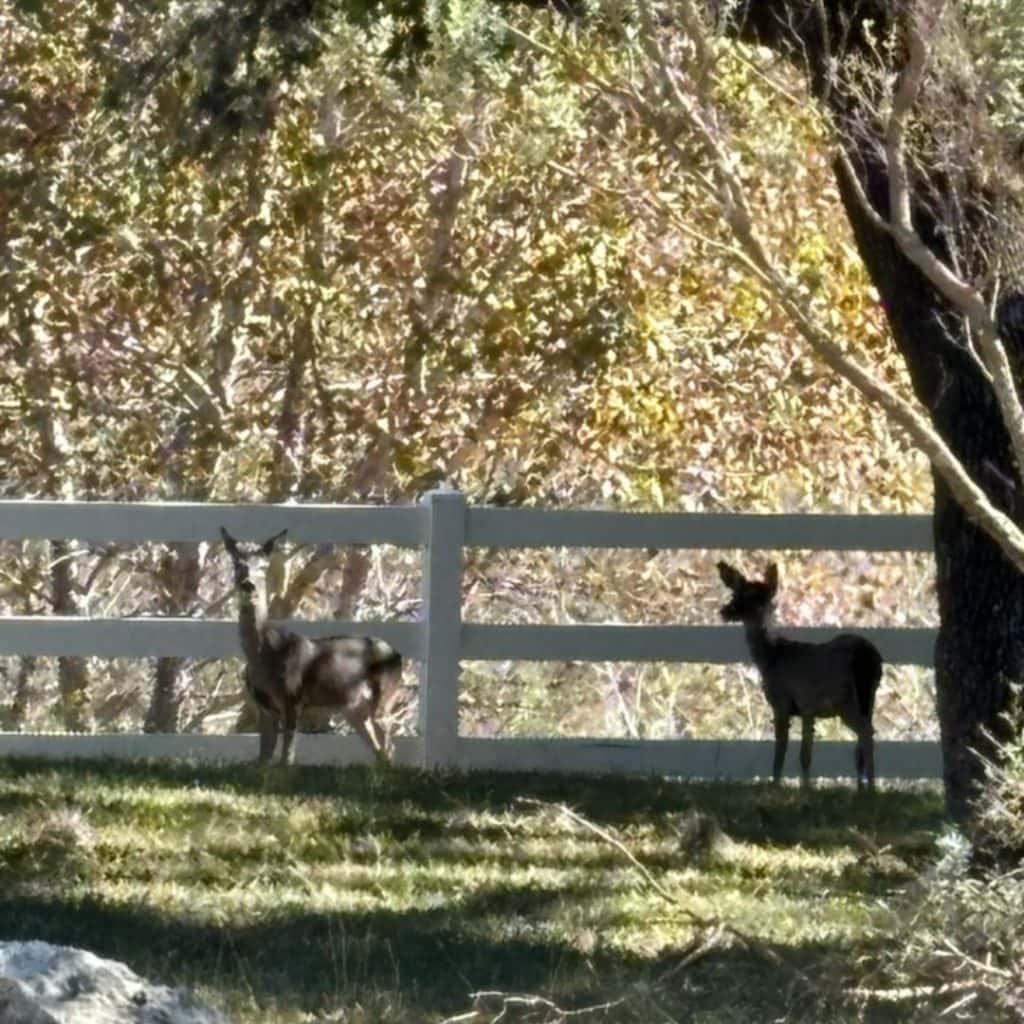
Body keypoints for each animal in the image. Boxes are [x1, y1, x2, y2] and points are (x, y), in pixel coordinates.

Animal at [221, 527, 404, 766]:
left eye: (263, 566)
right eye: (236, 563)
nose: (248, 584)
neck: (264, 655)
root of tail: (398, 655)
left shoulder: (293, 698)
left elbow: (287, 757)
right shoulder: (264, 707)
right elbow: (263, 758)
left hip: (385, 698)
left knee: (389, 745)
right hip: (355, 709)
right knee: (380, 749)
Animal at [716, 560, 883, 791]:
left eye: (752, 597)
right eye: (735, 593)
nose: (725, 610)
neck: (772, 656)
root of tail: (867, 657)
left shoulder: (785, 702)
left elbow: (782, 750)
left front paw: (778, 785)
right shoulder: (807, 709)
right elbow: (806, 753)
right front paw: (806, 787)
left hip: (844, 699)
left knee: (866, 732)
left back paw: (873, 788)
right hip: (869, 698)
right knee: (864, 738)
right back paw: (862, 788)